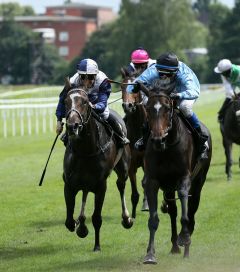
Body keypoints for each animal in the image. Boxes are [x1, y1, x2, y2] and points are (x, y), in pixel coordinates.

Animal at [63, 82, 133, 251]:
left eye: (84, 102)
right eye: (66, 102)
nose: (72, 126)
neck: (86, 150)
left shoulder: (101, 185)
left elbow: (96, 218)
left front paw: (97, 246)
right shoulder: (69, 184)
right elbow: (69, 221)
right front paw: (80, 226)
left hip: (123, 168)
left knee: (121, 185)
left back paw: (126, 218)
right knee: (85, 193)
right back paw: (82, 222)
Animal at [141, 83, 212, 264]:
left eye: (167, 108)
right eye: (148, 108)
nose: (158, 140)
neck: (167, 148)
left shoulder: (184, 179)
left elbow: (185, 213)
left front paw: (185, 238)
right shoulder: (153, 181)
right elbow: (153, 219)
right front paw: (150, 254)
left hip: (199, 181)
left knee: (192, 208)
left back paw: (184, 241)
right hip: (168, 187)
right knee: (173, 211)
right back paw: (174, 246)